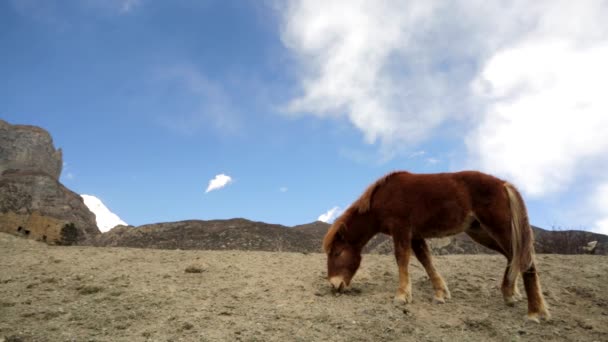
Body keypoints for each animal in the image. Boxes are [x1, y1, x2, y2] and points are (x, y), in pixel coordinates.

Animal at [324, 171, 552, 324]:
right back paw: (510, 294)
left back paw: (534, 312)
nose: (334, 285)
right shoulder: (416, 235)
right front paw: (441, 293)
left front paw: (402, 296)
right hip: (481, 232)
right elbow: (426, 260)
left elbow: (402, 258)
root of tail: (503, 184)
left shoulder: (402, 230)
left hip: (498, 228)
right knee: (511, 257)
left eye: (337, 253)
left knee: (525, 260)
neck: (384, 197)